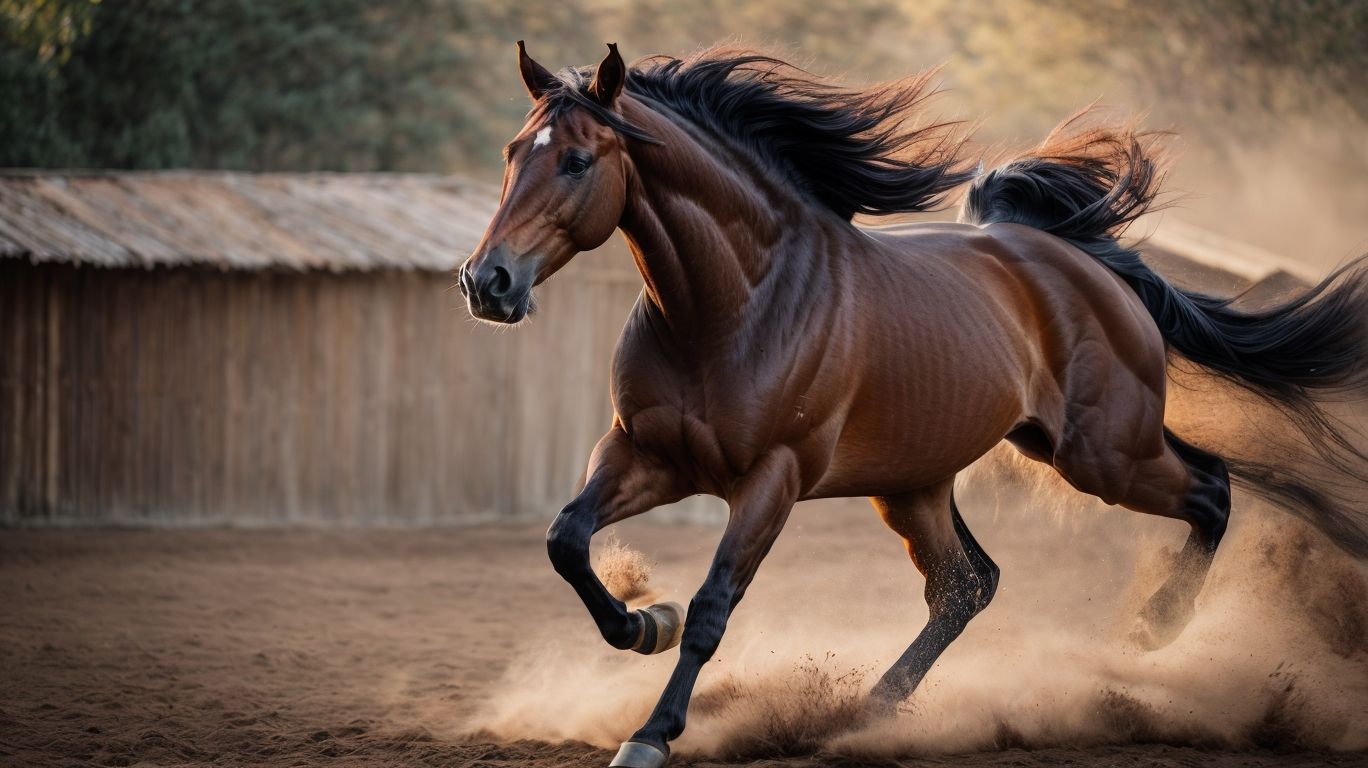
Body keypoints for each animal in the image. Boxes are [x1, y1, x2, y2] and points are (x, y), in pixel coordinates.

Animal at [457, 42, 1368, 768]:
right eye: (512, 151)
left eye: (577, 161)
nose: (486, 282)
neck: (731, 306)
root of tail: (1085, 263)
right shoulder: (643, 455)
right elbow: (566, 540)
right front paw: (650, 621)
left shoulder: (771, 479)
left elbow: (717, 604)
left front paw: (651, 733)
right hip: (921, 482)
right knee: (968, 585)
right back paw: (870, 710)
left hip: (1102, 454)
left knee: (1210, 488)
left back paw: (1154, 628)